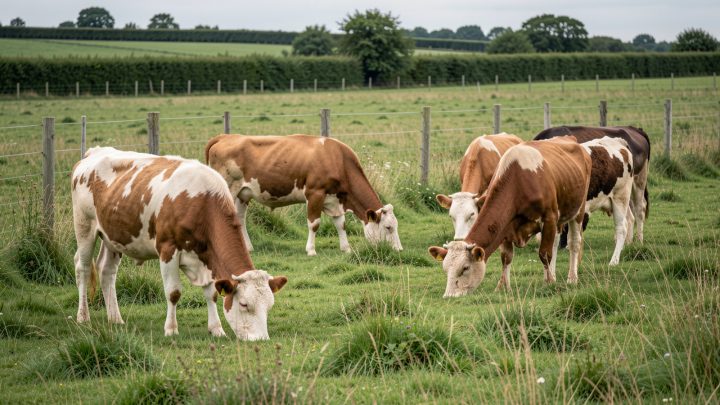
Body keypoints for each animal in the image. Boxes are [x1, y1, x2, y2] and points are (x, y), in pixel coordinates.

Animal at [71, 147, 288, 340]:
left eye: (269, 306)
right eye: (243, 304)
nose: (261, 339)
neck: (202, 204)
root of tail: (94, 151)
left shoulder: (207, 257)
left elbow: (211, 294)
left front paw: (216, 329)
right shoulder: (168, 250)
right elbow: (173, 292)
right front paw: (171, 329)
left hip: (113, 237)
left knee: (107, 271)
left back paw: (115, 319)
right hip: (84, 226)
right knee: (82, 267)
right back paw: (83, 317)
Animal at [205, 134, 402, 256]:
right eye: (388, 227)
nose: (399, 250)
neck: (336, 158)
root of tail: (225, 136)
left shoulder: (335, 199)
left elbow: (341, 224)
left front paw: (346, 248)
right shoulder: (315, 193)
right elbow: (314, 224)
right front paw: (311, 250)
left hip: (243, 193)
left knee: (239, 218)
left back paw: (247, 248)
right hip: (226, 189)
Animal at [428, 137, 592, 297]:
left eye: (465, 268)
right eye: (445, 269)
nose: (449, 295)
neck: (519, 181)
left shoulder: (549, 218)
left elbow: (545, 253)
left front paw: (548, 283)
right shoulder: (505, 225)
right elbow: (506, 257)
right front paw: (503, 287)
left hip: (578, 210)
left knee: (574, 243)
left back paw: (572, 278)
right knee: (556, 242)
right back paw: (554, 274)